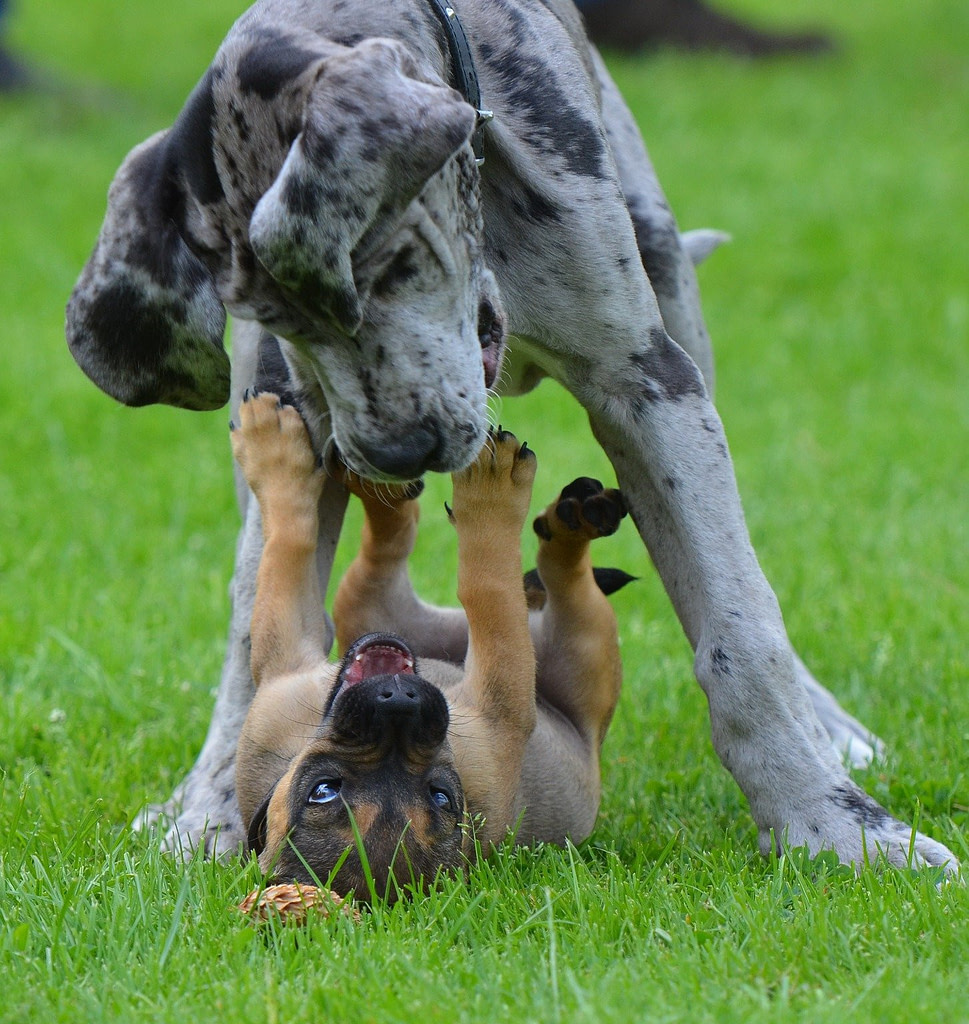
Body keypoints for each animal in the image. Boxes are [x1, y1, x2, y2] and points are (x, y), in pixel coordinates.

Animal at [232, 389, 626, 897]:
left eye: (440, 796)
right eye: (323, 790)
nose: (398, 700)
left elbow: (289, 535)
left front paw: (271, 449)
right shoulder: (504, 699)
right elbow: (487, 586)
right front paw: (491, 497)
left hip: (367, 608)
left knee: (384, 550)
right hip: (587, 643)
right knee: (564, 578)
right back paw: (570, 527)